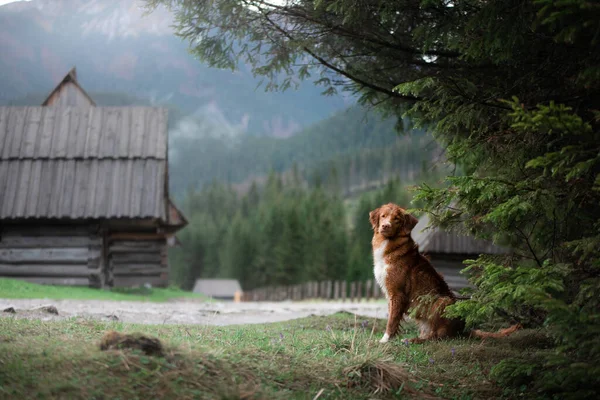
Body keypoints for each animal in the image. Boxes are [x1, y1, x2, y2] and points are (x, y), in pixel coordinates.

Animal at [368, 203, 516, 344]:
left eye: (396, 219)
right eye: (383, 216)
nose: (385, 226)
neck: (390, 246)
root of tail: (462, 330)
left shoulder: (397, 293)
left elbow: (392, 320)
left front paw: (384, 340)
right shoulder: (390, 294)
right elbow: (392, 316)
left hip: (441, 301)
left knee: (438, 337)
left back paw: (414, 340)